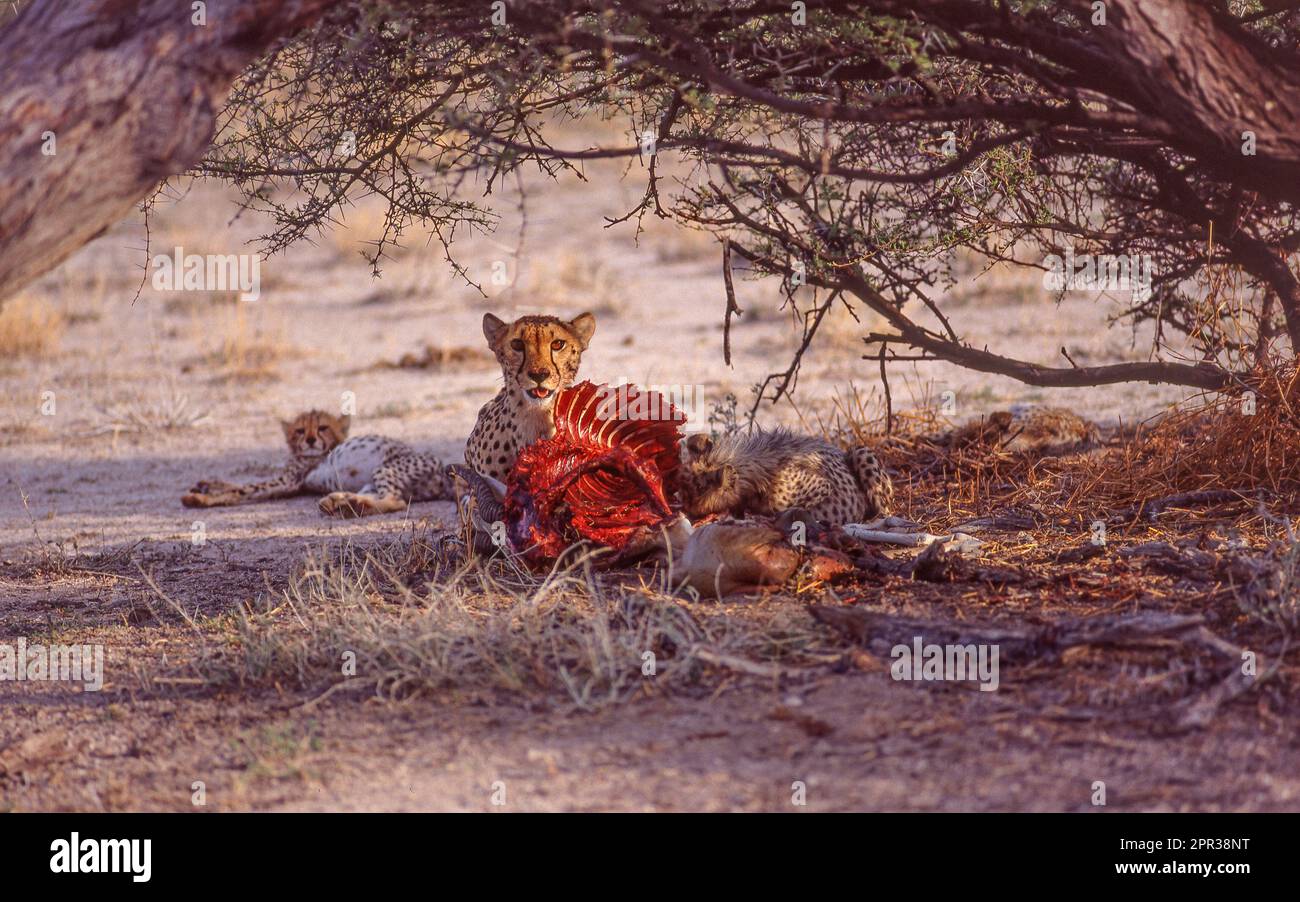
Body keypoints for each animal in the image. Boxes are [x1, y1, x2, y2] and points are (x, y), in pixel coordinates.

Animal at [178, 413, 452, 519]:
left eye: (322, 427)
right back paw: (341, 502)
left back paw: (347, 505)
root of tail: (443, 473)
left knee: (396, 501)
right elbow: (237, 483)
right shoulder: (292, 482)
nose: (310, 440)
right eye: (300, 430)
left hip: (386, 467)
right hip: (372, 481)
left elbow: (240, 490)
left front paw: (200, 498)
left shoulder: (288, 482)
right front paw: (205, 484)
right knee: (380, 496)